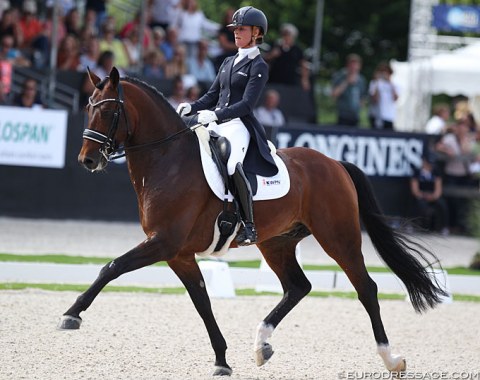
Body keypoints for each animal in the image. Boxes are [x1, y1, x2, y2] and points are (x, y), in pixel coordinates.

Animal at [59, 67, 446, 376]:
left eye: (110, 110)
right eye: (88, 108)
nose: (87, 160)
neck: (167, 160)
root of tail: (334, 163)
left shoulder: (163, 242)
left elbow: (112, 266)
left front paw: (72, 314)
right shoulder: (178, 254)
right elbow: (202, 302)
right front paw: (221, 360)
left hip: (339, 237)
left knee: (366, 288)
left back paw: (391, 359)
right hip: (276, 242)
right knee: (298, 287)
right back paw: (262, 345)